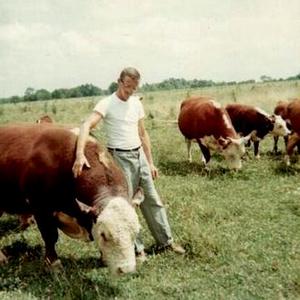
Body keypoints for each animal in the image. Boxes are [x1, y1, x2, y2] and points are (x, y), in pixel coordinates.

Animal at [0, 123, 141, 276]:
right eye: (103, 234)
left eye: (136, 232)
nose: (126, 270)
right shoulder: (41, 208)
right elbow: (50, 236)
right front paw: (54, 264)